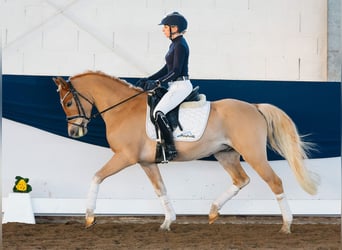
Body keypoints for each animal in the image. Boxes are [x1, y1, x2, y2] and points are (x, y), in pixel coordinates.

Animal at [52, 71, 320, 234]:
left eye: (68, 103)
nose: (74, 132)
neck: (123, 109)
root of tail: (254, 107)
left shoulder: (125, 157)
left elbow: (96, 176)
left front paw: (89, 217)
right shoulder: (147, 163)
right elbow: (160, 190)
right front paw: (168, 221)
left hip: (253, 154)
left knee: (274, 182)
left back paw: (286, 225)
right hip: (226, 154)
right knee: (241, 179)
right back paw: (213, 211)